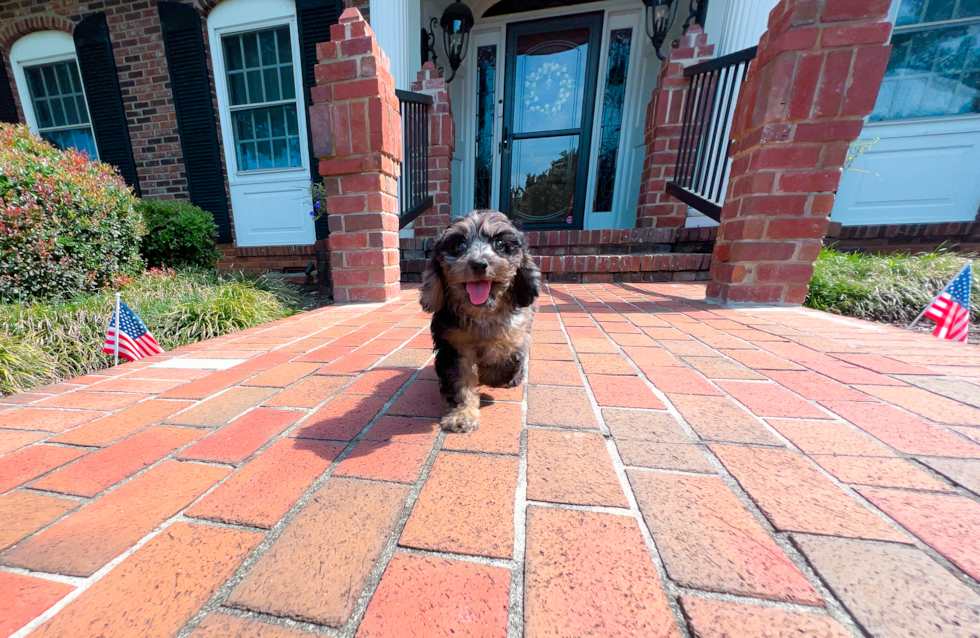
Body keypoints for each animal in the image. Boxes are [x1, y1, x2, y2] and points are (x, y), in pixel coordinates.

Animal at [422, 210, 544, 436]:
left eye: (499, 244)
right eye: (460, 245)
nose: (479, 263)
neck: (482, 313)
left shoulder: (516, 332)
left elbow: (507, 360)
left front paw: (488, 373)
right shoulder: (452, 346)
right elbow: (460, 382)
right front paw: (462, 416)